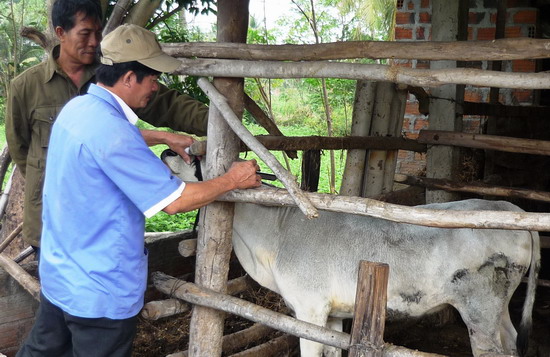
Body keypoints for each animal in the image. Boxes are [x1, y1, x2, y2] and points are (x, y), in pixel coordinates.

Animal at [164, 152, 544, 356]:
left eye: (196, 156)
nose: (167, 151)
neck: (275, 235)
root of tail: (508, 207)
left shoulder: (309, 309)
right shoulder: (333, 314)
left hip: (478, 307)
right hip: (499, 305)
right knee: (512, 341)